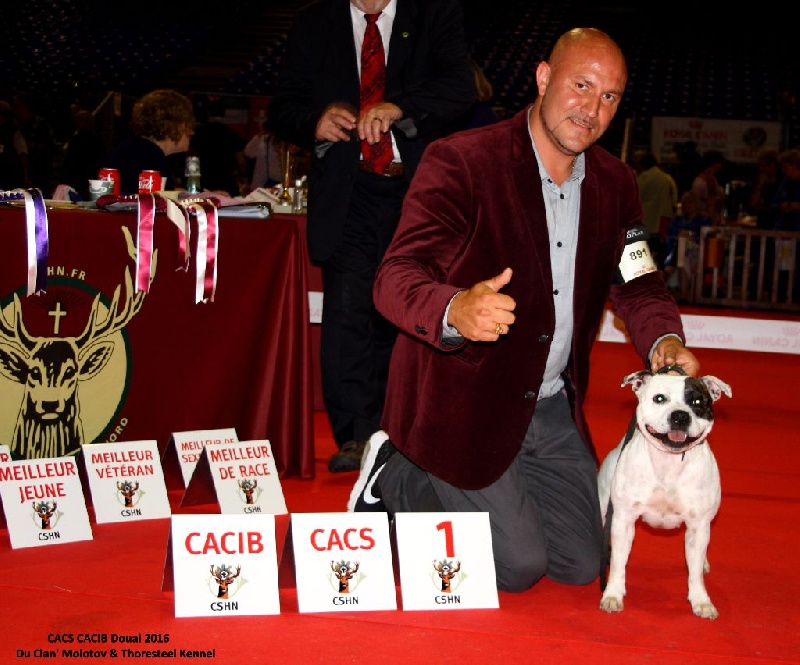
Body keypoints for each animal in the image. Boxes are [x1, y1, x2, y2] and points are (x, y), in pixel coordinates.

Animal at [597, 369, 732, 619]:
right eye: (659, 398)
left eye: (697, 402)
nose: (680, 416)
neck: (669, 462)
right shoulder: (623, 520)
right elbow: (619, 564)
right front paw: (612, 595)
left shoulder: (698, 525)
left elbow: (695, 572)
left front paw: (701, 601)